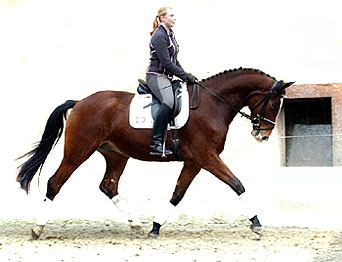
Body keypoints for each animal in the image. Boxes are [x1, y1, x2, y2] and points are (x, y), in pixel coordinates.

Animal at [16, 67, 294, 239]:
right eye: (273, 103)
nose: (262, 135)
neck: (213, 104)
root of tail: (81, 102)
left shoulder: (194, 162)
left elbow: (177, 195)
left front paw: (155, 226)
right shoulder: (206, 157)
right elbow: (237, 184)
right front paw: (256, 223)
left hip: (116, 155)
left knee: (108, 185)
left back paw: (136, 224)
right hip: (78, 151)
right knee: (55, 183)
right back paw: (37, 229)